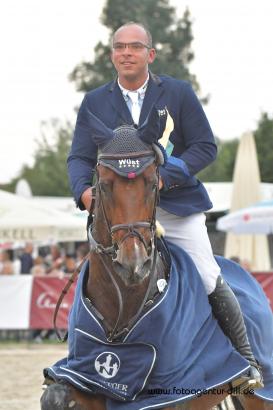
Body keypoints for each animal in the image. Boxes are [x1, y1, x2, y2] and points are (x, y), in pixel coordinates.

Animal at [40, 109, 272, 410]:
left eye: (153, 183)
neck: (122, 302)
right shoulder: (87, 378)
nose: (134, 264)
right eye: (104, 185)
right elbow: (55, 395)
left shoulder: (172, 394)